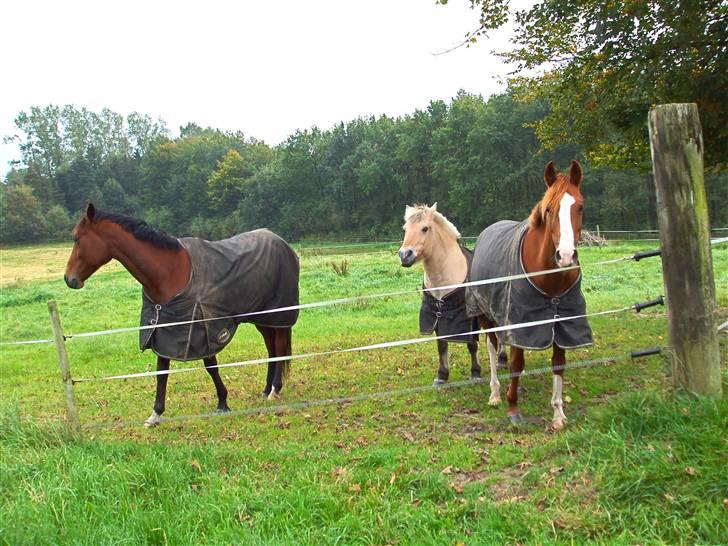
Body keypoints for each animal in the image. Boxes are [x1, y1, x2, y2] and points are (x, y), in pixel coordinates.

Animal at [64, 203, 298, 424]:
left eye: (76, 239)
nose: (69, 279)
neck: (169, 272)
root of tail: (282, 242)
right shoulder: (163, 331)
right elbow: (161, 372)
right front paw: (156, 414)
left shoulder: (203, 329)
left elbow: (211, 366)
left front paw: (222, 402)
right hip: (265, 319)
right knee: (272, 350)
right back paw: (266, 389)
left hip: (278, 316)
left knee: (279, 348)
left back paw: (275, 389)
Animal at [398, 204, 506, 386]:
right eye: (405, 229)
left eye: (425, 228)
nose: (405, 255)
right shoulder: (438, 316)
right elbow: (442, 345)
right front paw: (441, 375)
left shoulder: (467, 318)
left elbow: (471, 344)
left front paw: (475, 372)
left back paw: (503, 360)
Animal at [466, 162, 592, 430]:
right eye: (549, 208)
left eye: (580, 206)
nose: (566, 256)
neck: (550, 279)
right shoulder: (521, 323)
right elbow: (516, 363)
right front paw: (513, 409)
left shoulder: (562, 323)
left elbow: (558, 364)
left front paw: (558, 414)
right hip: (485, 315)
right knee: (492, 348)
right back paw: (495, 393)